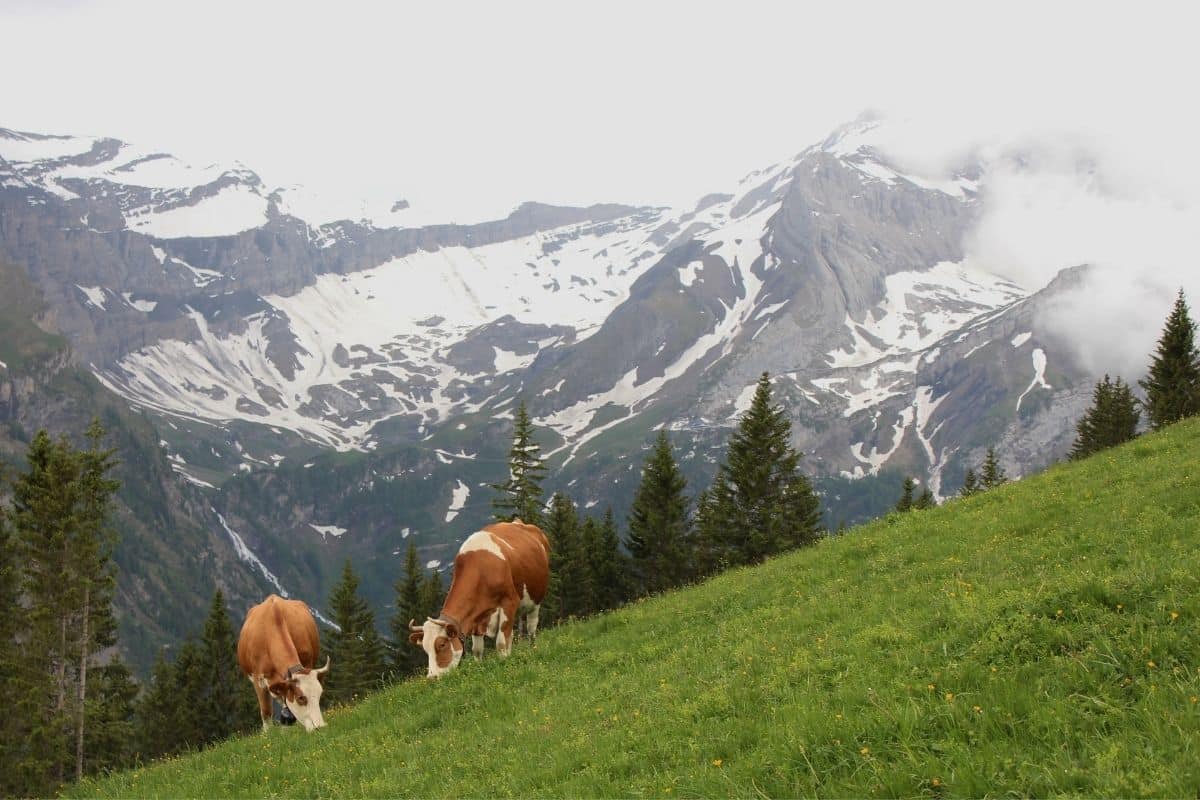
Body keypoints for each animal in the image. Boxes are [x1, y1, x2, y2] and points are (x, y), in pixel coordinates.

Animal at [236, 594, 331, 734]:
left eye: (320, 695)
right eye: (301, 698)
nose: (321, 727)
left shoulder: (307, 663)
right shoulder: (258, 679)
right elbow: (266, 711)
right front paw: (268, 734)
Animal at [408, 520, 549, 676]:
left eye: (442, 644)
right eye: (425, 649)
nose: (432, 677)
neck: (481, 571)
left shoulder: (509, 603)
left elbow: (501, 642)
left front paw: (505, 663)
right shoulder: (476, 617)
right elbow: (477, 650)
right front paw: (480, 668)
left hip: (536, 600)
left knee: (531, 628)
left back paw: (532, 648)